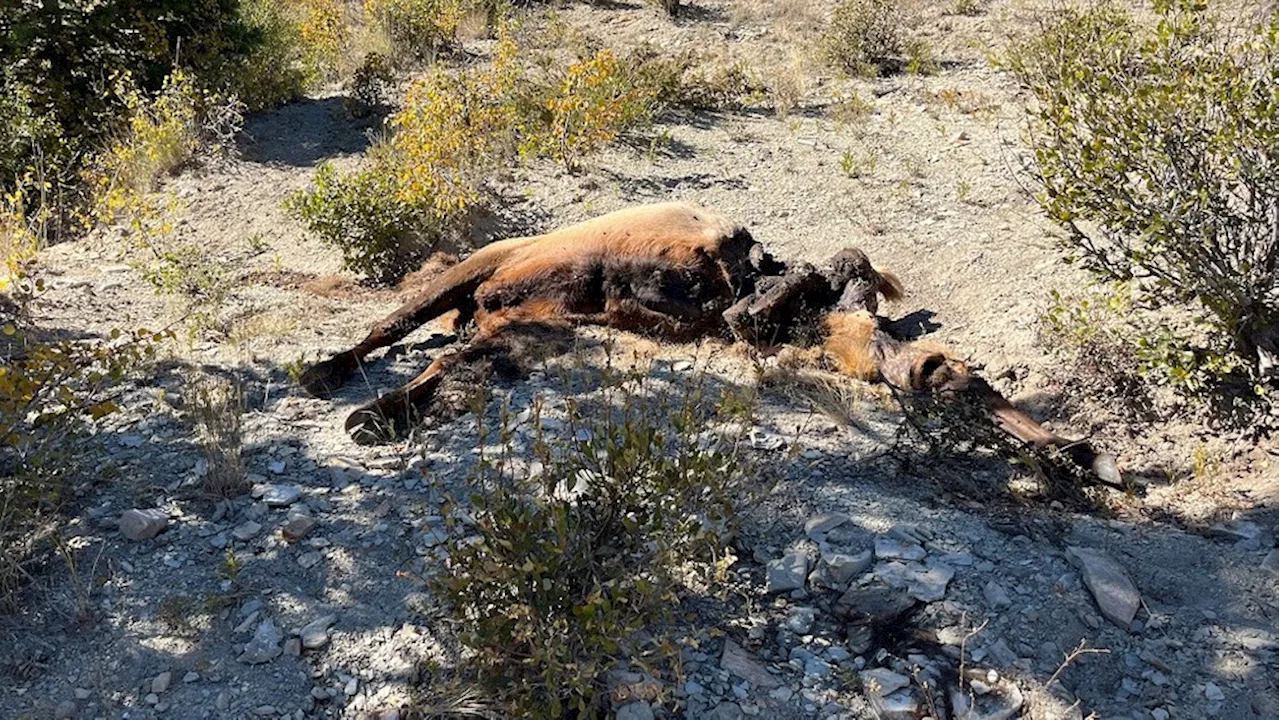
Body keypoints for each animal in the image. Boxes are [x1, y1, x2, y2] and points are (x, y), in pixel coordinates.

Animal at [299, 198, 1121, 484]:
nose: (884, 342)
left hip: (508, 308)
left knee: (443, 345)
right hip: (477, 269)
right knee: (392, 326)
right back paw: (327, 377)